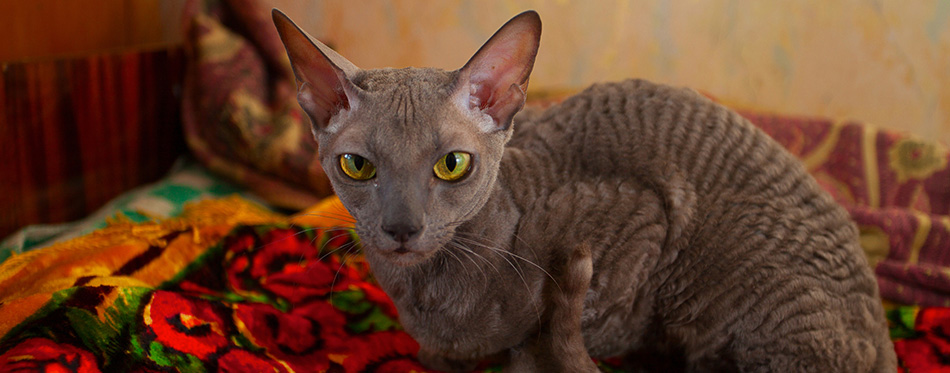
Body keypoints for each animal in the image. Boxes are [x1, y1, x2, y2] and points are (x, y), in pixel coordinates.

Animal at [272, 8, 896, 372]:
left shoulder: (640, 224)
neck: (426, 294)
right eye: (356, 166)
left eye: (452, 165)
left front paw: (521, 355)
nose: (402, 227)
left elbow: (550, 336)